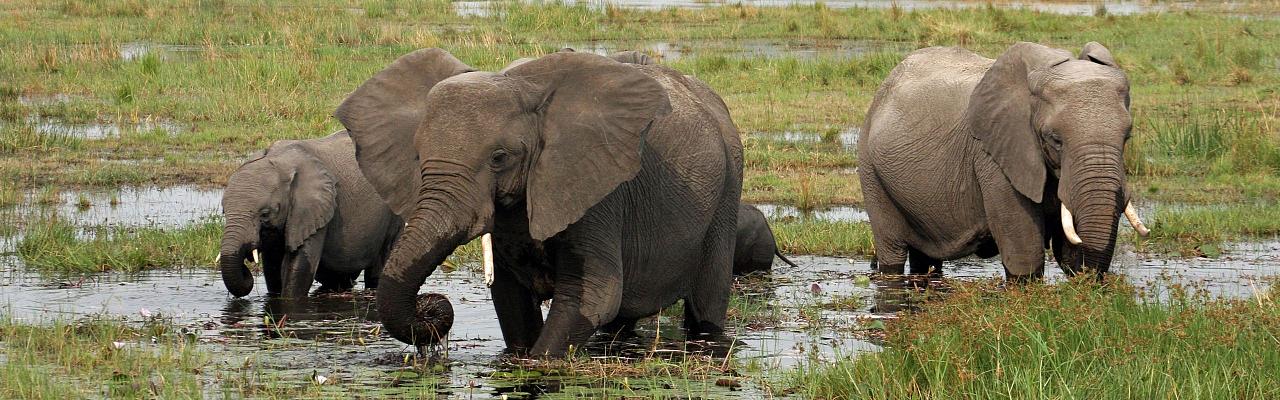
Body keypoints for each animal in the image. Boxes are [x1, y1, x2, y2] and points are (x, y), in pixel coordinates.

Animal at [217, 132, 401, 300]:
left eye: (265, 214)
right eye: (224, 211)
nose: (245, 269)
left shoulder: (313, 210)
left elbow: (299, 266)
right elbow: (272, 267)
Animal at [335, 47, 747, 356]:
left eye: (499, 157)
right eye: (418, 156)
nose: (433, 309)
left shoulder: (594, 185)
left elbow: (593, 297)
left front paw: (538, 363)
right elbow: (510, 297)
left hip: (728, 188)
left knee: (706, 303)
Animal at [860, 40, 1152, 278]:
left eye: (1127, 137)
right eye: (1054, 139)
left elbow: (1066, 251)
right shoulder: (994, 157)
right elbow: (1024, 254)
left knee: (926, 259)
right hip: (870, 168)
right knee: (893, 251)